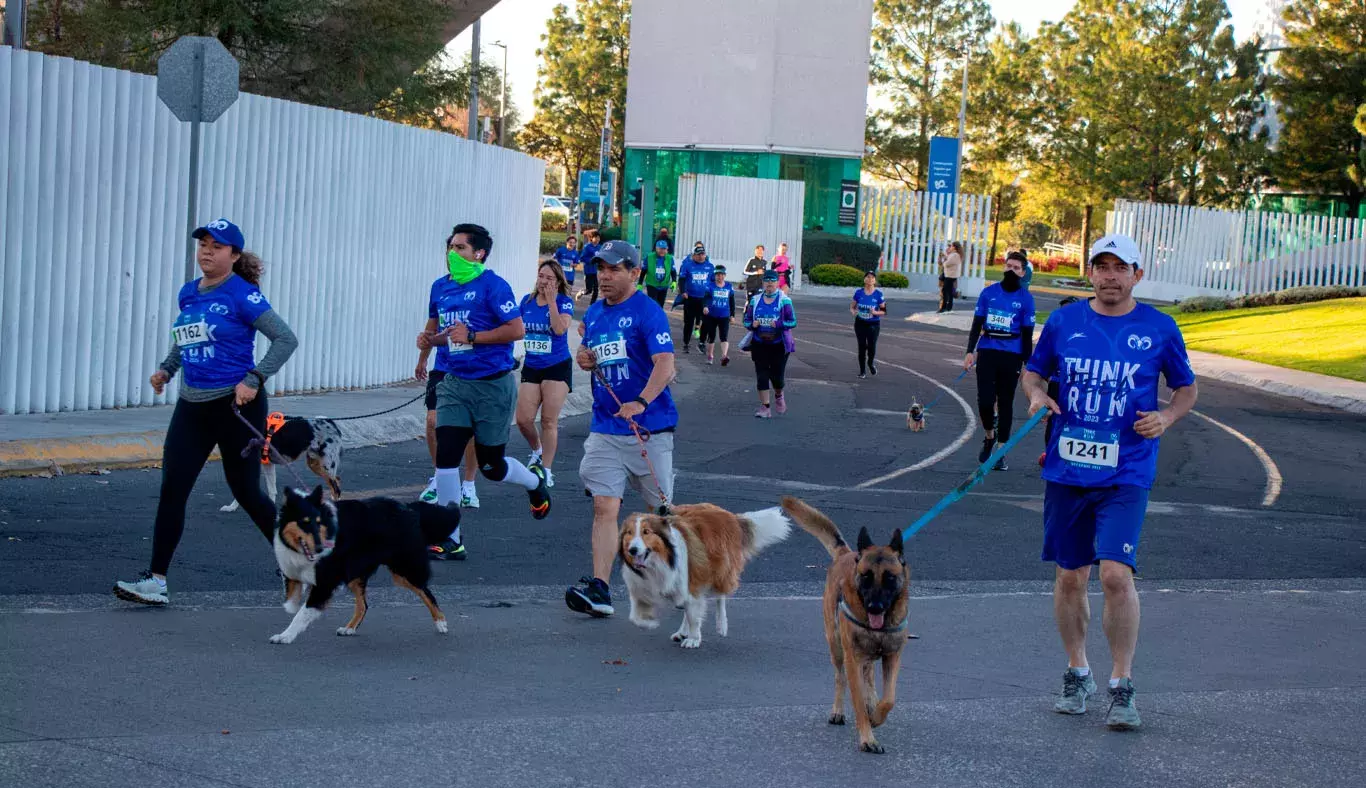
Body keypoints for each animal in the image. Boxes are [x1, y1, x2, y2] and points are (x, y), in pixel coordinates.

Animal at [620, 499, 792, 647]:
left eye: (646, 532)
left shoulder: (690, 581)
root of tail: (730, 516)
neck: (659, 560)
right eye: (629, 532)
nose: (632, 550)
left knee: (720, 597)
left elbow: (694, 615)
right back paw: (682, 632)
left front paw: (694, 639)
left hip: (719, 569)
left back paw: (721, 625)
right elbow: (634, 616)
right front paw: (648, 622)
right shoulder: (640, 587)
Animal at [781, 494, 907, 753]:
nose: (875, 607)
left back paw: (872, 702)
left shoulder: (893, 656)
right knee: (841, 678)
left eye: (889, 577)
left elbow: (889, 699)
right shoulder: (852, 659)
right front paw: (867, 738)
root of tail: (846, 553)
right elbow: (856, 699)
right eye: (866, 576)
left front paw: (876, 715)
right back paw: (838, 711)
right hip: (836, 647)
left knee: (869, 675)